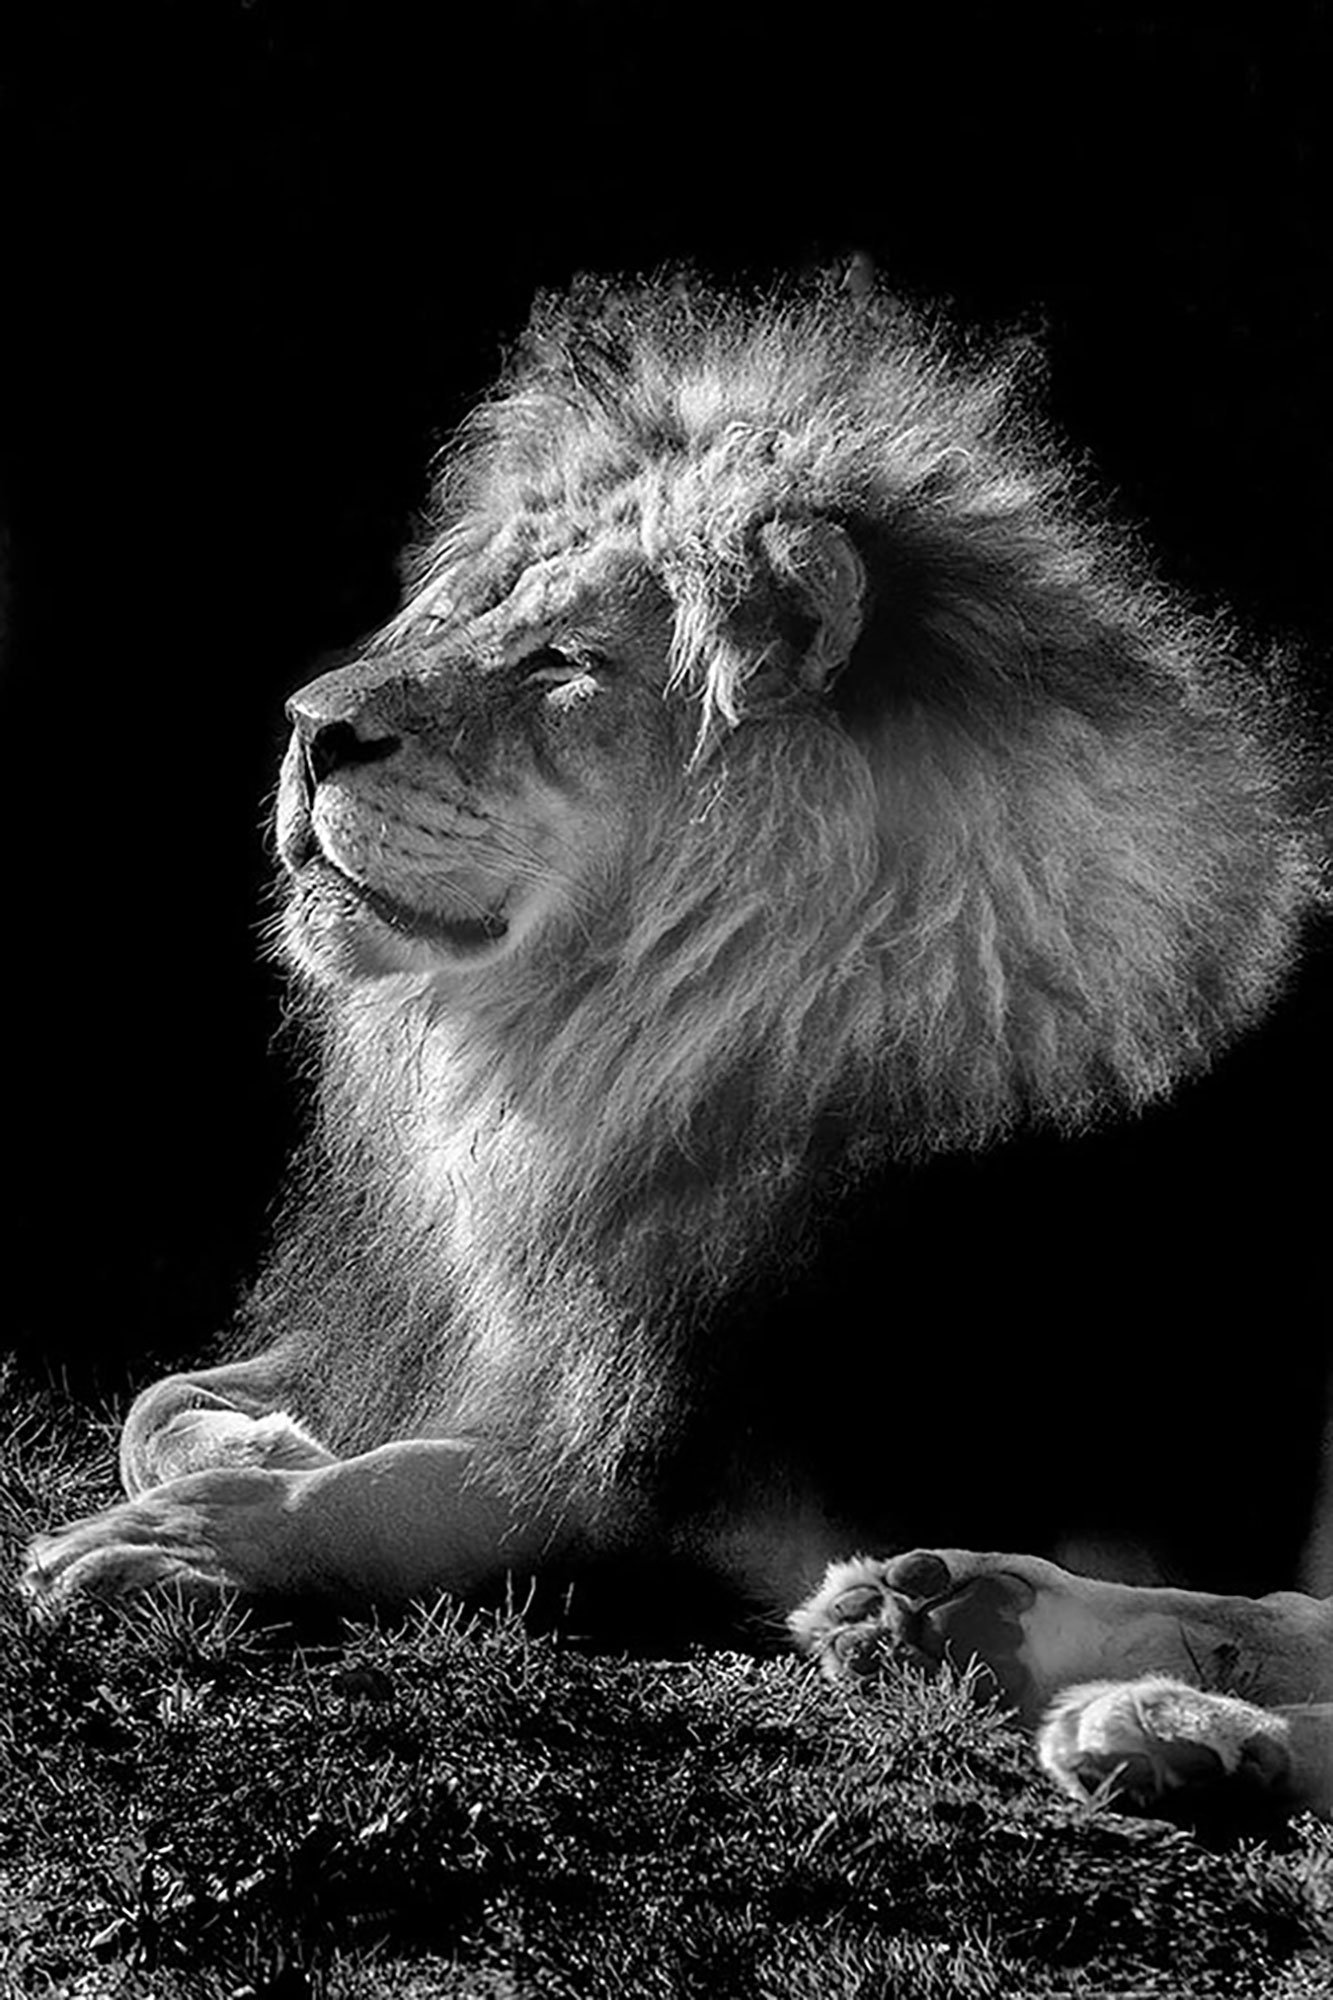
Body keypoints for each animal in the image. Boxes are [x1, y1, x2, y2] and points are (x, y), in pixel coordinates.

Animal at [25, 274, 1332, 1821]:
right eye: (454, 619)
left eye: (563, 665)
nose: (306, 729)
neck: (580, 1053)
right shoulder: (502, 1335)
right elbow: (158, 1398)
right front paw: (252, 1443)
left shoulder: (726, 1477)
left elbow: (420, 1487)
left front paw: (193, 1533)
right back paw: (988, 1639)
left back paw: (1136, 1708)